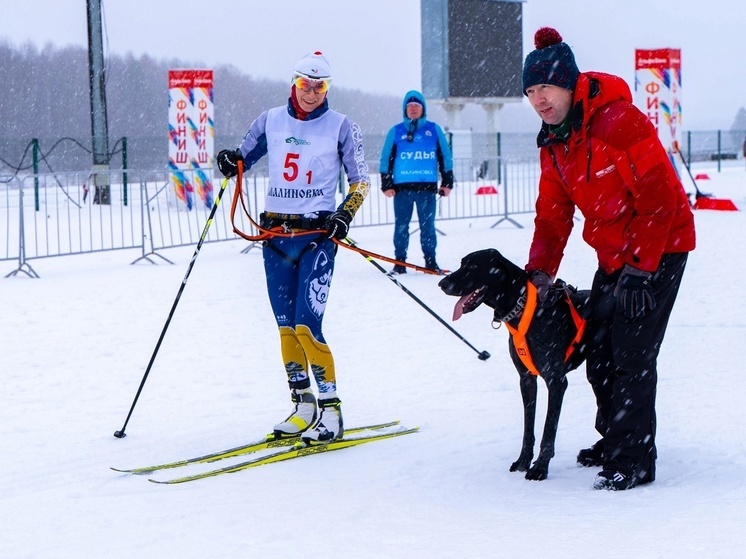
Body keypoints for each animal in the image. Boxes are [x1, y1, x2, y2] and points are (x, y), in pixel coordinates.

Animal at [436, 249, 588, 482]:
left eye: (473, 266)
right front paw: (523, 462)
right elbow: (528, 428)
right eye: (462, 263)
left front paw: (540, 468)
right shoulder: (526, 379)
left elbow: (549, 429)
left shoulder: (556, 381)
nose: (443, 283)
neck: (524, 309)